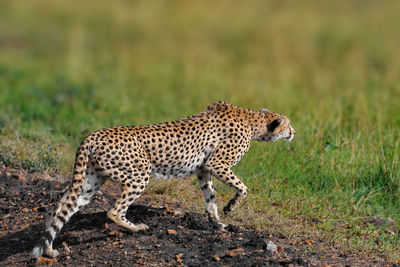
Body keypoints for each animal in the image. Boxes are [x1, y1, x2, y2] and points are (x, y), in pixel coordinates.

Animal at [32, 101, 294, 258]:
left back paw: (49, 250)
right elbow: (243, 188)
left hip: (90, 182)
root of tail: (92, 135)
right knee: (113, 211)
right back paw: (136, 227)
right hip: (140, 173)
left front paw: (217, 224)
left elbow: (210, 199)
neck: (251, 121)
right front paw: (230, 207)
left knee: (58, 209)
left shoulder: (203, 170)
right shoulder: (216, 164)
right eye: (288, 124)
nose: (293, 132)